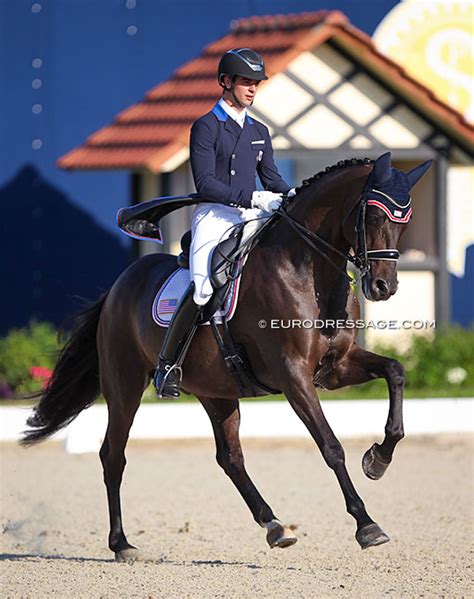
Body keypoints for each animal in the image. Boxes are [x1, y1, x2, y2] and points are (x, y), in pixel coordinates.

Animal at [23, 151, 434, 564]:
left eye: (406, 221)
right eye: (374, 216)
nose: (383, 287)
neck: (306, 271)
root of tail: (118, 286)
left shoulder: (336, 368)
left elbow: (395, 371)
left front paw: (378, 460)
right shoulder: (293, 375)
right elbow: (330, 446)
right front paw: (367, 525)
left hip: (215, 391)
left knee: (230, 458)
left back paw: (275, 526)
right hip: (124, 386)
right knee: (113, 456)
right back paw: (121, 543)